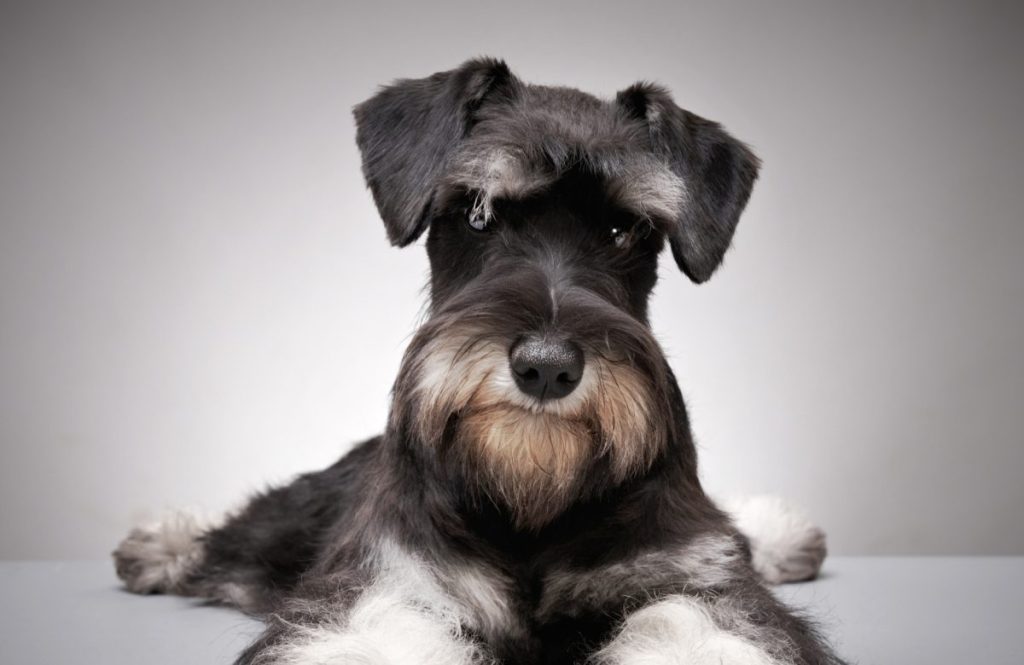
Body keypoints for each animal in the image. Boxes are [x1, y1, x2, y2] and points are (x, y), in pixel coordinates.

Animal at [116, 58, 843, 663]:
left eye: (626, 231)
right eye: (475, 212)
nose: (546, 366)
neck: (529, 503)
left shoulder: (694, 579)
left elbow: (702, 617)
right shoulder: (392, 581)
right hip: (294, 514)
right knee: (238, 535)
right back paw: (157, 544)